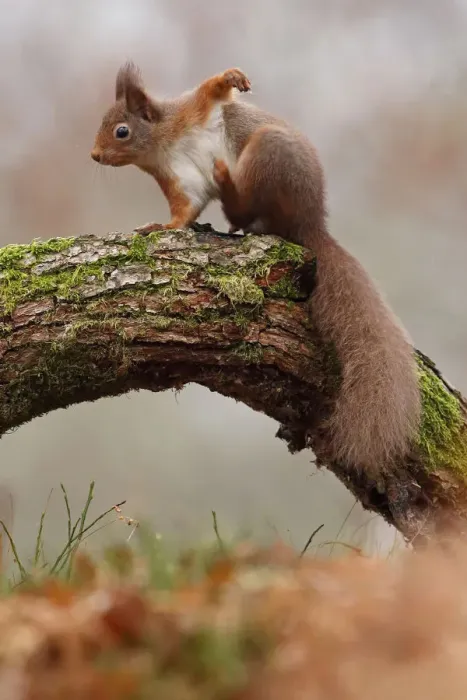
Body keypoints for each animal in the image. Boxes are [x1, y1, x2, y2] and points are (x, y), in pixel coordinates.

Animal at [91, 63, 421, 477]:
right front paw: (159, 227)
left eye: (122, 130)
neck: (162, 145)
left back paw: (230, 185)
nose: (94, 155)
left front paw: (231, 78)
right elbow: (184, 213)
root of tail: (310, 223)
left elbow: (212, 92)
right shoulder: (182, 180)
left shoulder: (193, 112)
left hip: (270, 152)